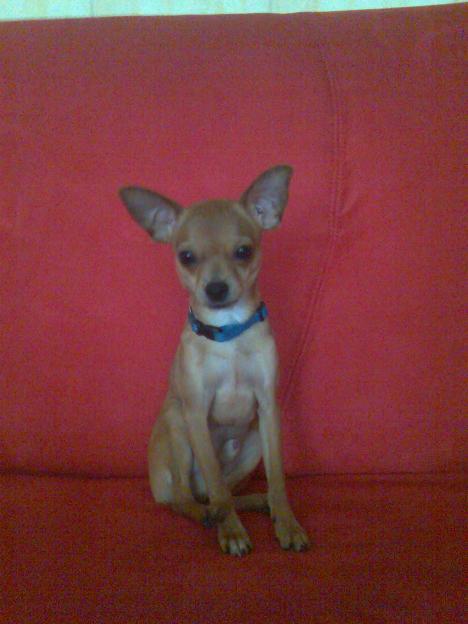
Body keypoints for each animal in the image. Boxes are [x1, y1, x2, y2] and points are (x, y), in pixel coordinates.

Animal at [119, 166, 310, 555]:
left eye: (243, 251)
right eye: (187, 257)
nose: (217, 288)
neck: (229, 333)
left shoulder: (268, 409)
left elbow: (278, 478)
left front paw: (287, 523)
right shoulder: (195, 411)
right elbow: (215, 480)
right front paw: (232, 532)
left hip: (252, 443)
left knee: (225, 492)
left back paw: (258, 502)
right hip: (178, 428)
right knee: (189, 497)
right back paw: (209, 514)